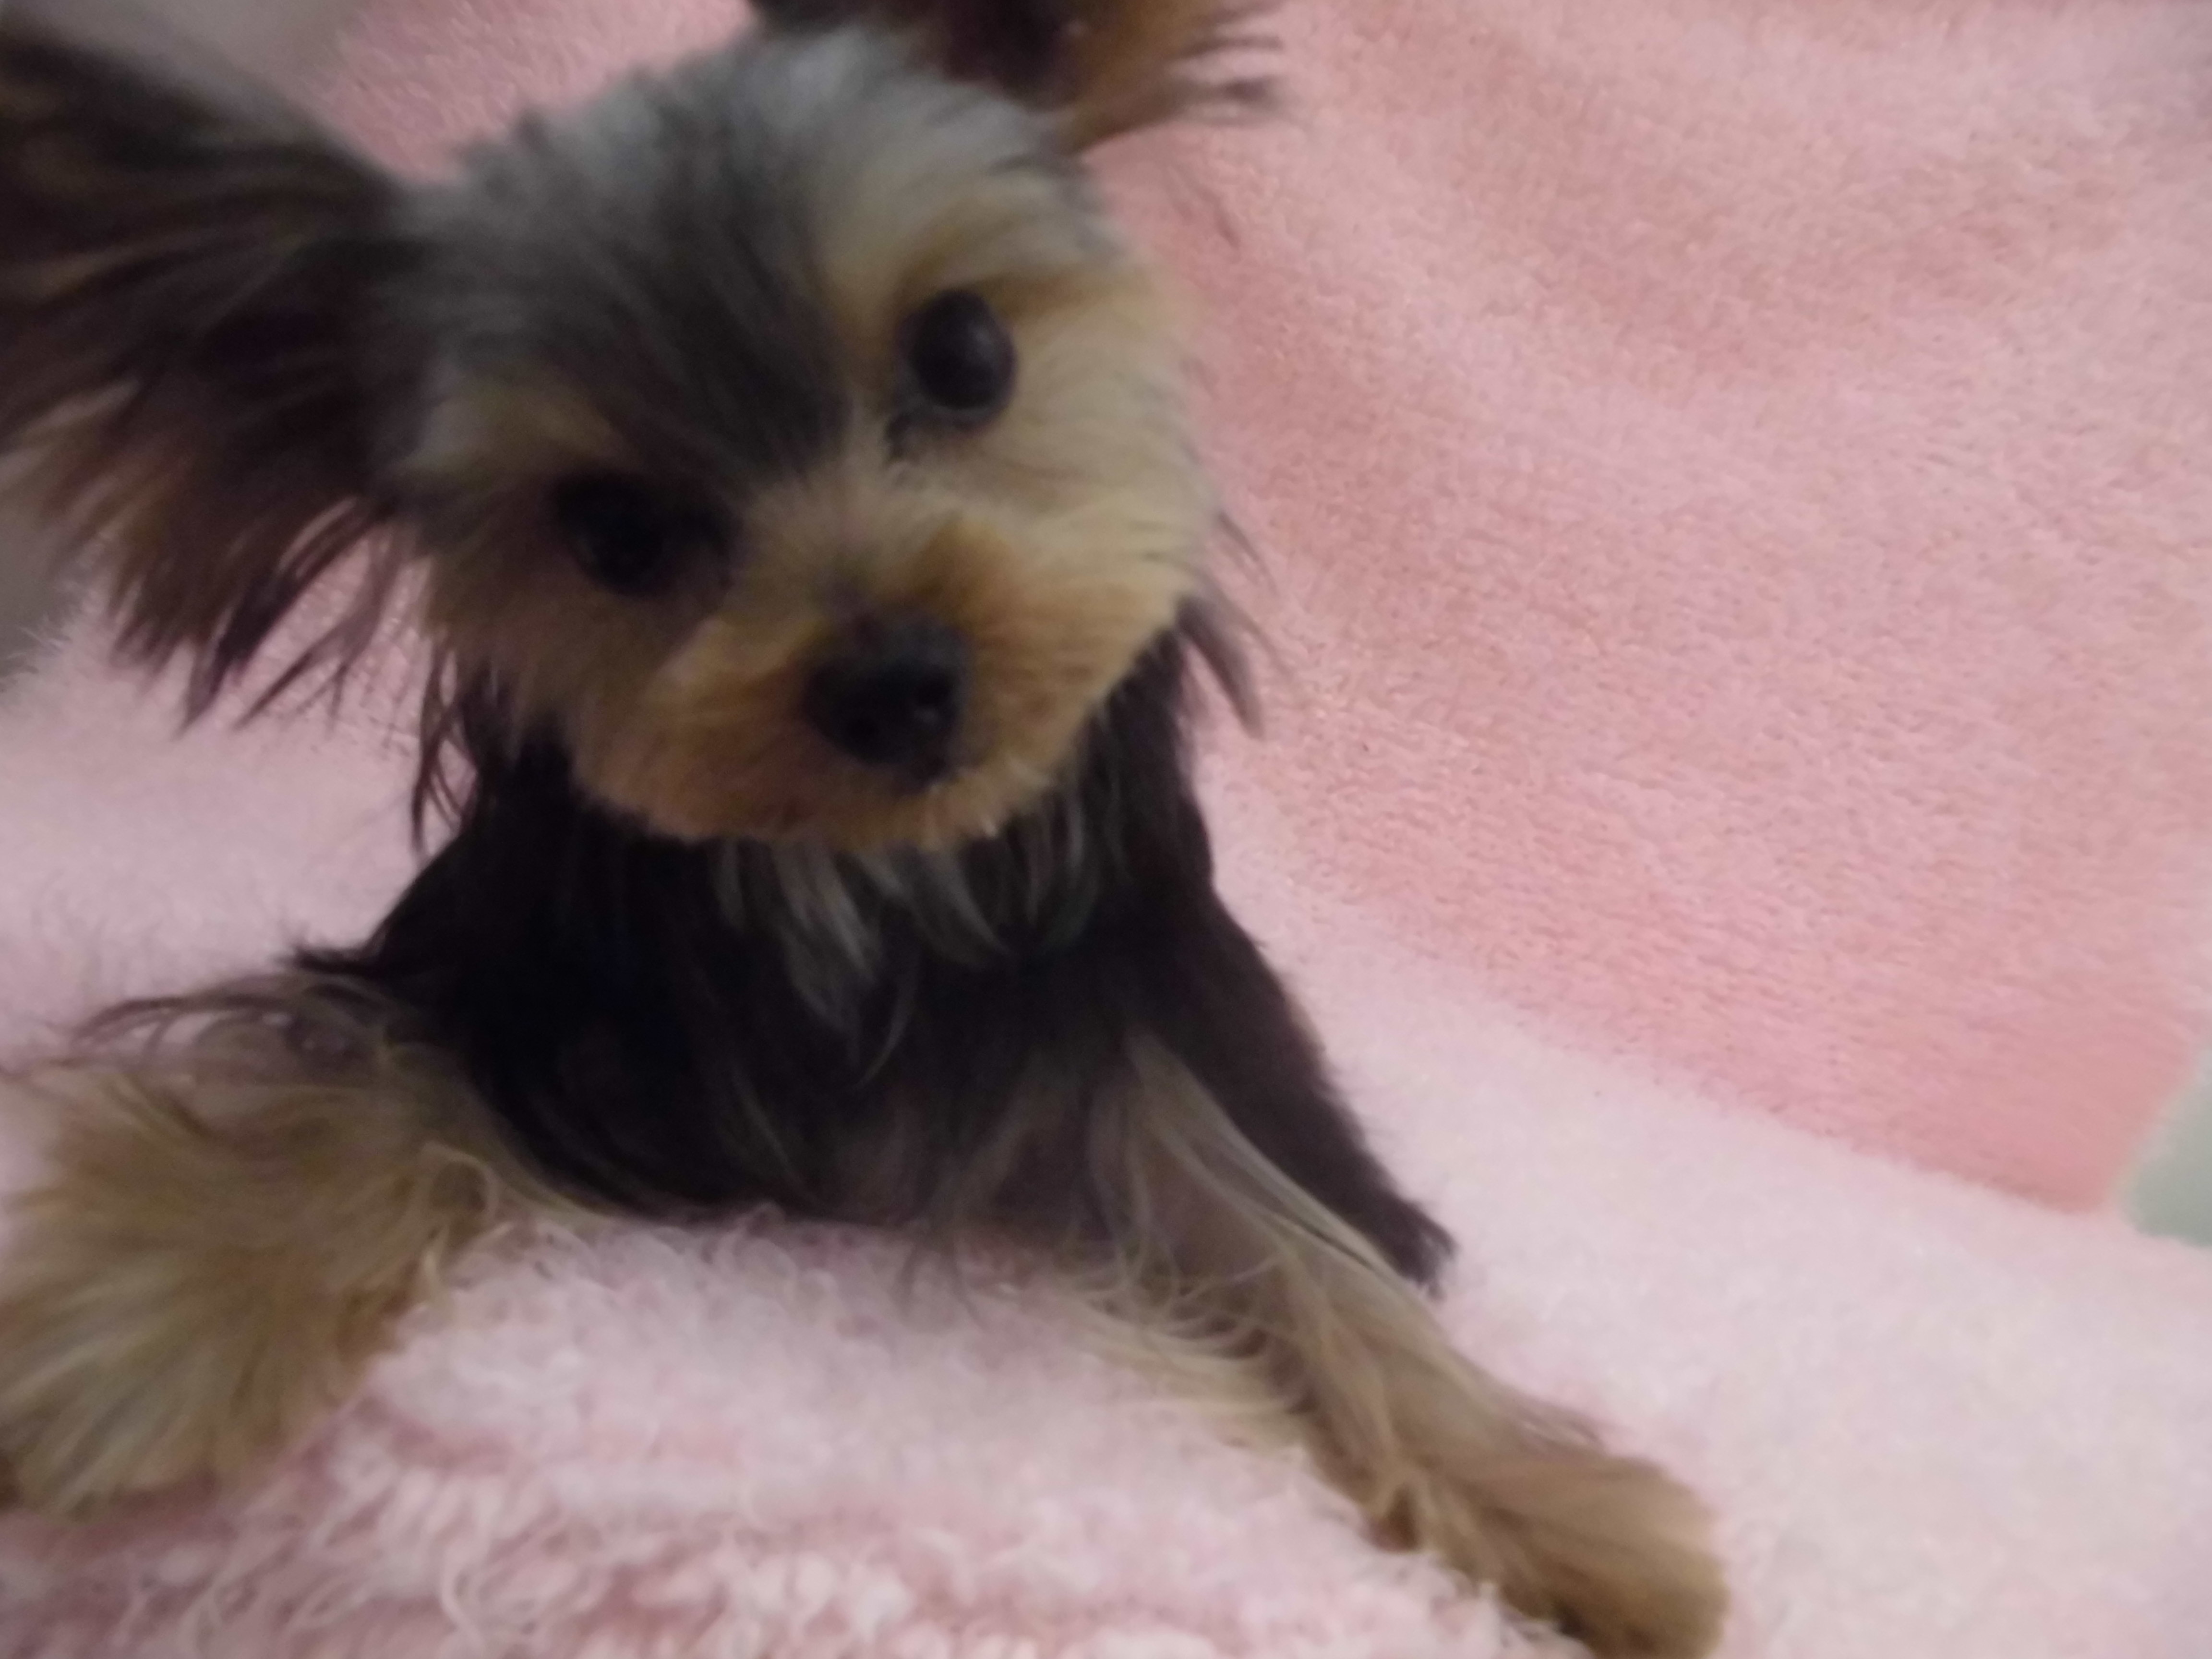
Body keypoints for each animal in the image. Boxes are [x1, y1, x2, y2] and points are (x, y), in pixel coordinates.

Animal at [0, 3, 1726, 1652]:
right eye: (608, 530)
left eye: (964, 350)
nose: (894, 680)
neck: (857, 876)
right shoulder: (518, 982)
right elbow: (363, 1082)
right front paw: (150, 1316)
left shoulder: (1114, 1010)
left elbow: (1280, 1226)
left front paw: (1546, 1503)